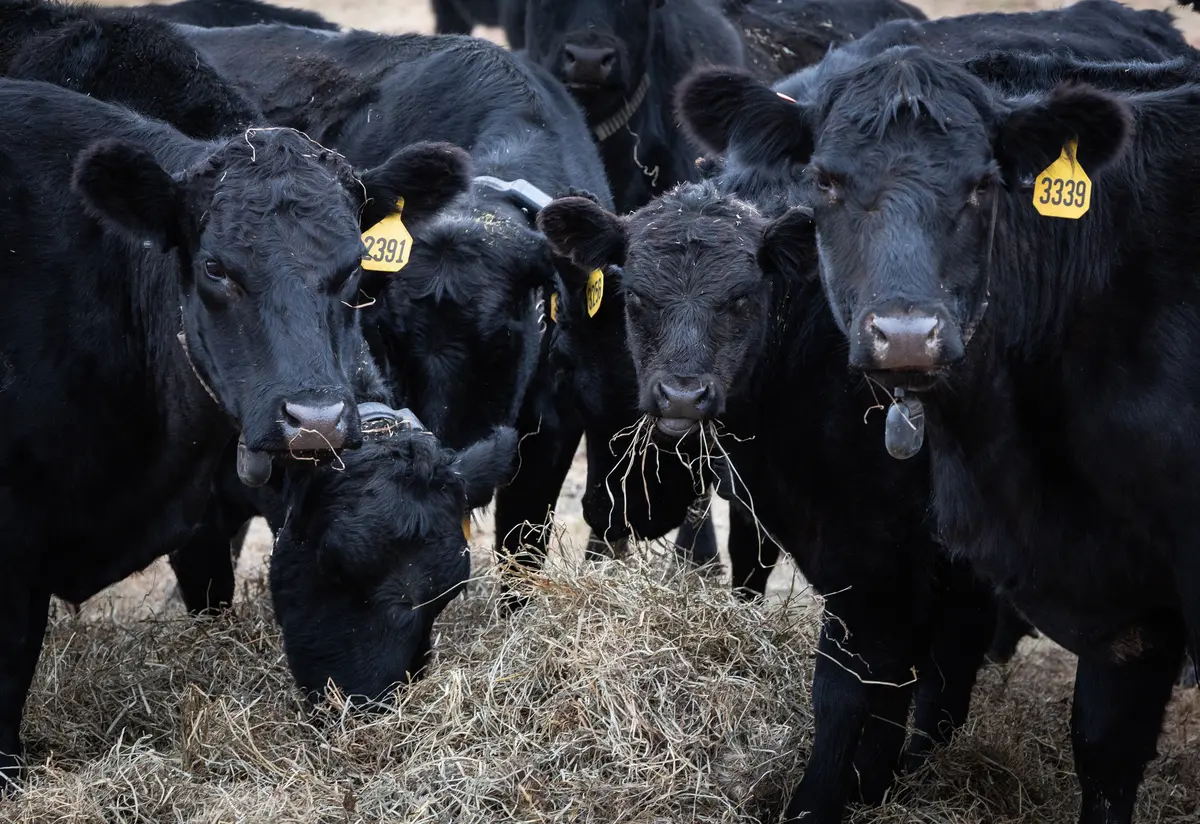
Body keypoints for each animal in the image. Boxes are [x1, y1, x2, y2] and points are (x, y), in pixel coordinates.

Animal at [539, 176, 1001, 823]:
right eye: (636, 299)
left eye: (741, 298)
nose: (681, 394)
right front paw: (872, 786)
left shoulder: (875, 558)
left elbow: (845, 690)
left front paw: (817, 803)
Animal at [673, 30, 1200, 824]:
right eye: (824, 181)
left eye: (984, 184)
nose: (906, 335)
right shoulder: (1122, 604)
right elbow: (1100, 748)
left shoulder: (887, 559)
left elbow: (862, 693)